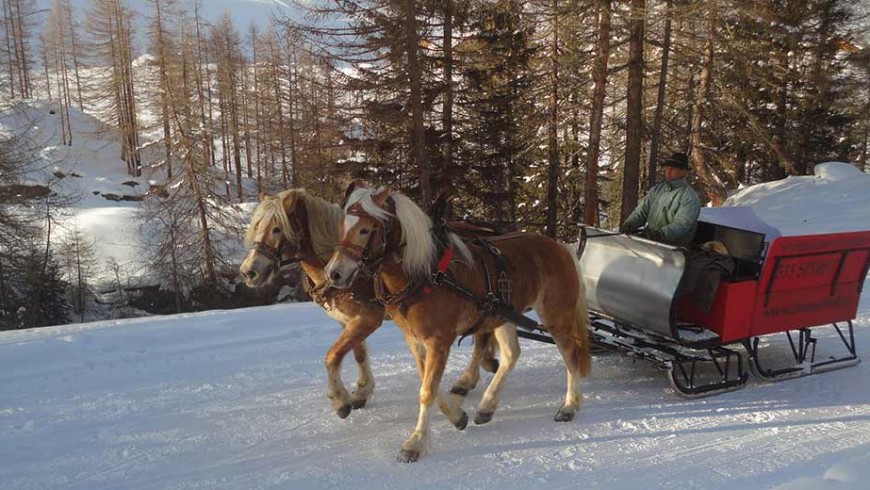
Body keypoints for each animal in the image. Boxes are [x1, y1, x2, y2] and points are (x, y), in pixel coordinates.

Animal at [240, 189, 498, 420]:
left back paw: (470, 377)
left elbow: (333, 356)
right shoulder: (348, 320)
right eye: (256, 226)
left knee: (482, 337)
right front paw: (362, 390)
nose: (248, 271)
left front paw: (340, 399)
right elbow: (357, 353)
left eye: (276, 228)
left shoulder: (368, 319)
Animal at [326, 184, 592, 464]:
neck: (424, 274)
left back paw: (569, 406)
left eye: (365, 229)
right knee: (511, 355)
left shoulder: (439, 341)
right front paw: (456, 416)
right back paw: (487, 406)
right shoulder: (415, 340)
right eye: (342, 224)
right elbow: (429, 382)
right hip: (504, 314)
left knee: (571, 356)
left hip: (556, 315)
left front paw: (415, 442)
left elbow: (427, 390)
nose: (334, 273)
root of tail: (560, 246)